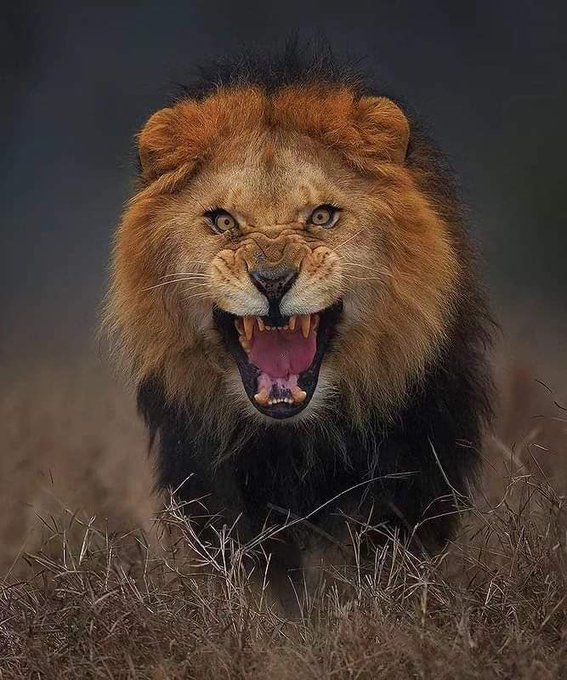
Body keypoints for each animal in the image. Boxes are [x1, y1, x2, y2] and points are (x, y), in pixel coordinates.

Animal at [106, 49, 492, 589]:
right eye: (223, 220)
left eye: (322, 216)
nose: (272, 280)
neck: (297, 440)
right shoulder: (213, 485)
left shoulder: (414, 468)